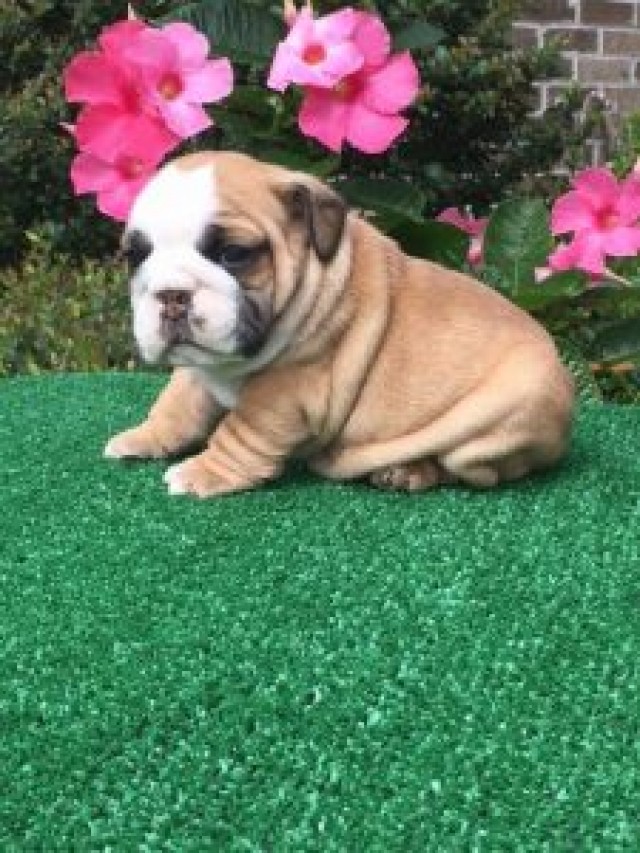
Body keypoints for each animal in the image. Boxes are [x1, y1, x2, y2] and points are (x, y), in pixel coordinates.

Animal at [104, 151, 576, 496]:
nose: (171, 295)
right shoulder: (202, 366)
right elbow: (178, 401)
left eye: (233, 254)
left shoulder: (285, 389)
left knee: (472, 469)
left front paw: (204, 472)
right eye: (135, 256)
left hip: (497, 425)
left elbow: (241, 431)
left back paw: (409, 471)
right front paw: (145, 436)